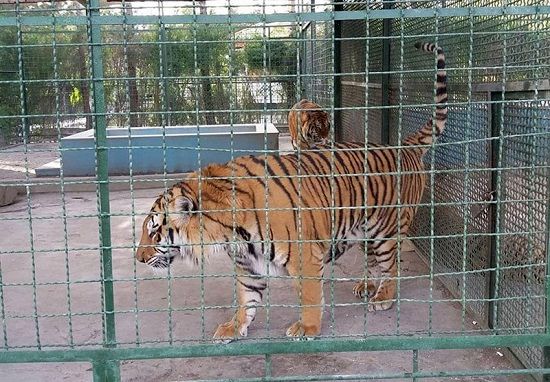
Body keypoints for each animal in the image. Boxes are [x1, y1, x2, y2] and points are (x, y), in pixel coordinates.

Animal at [137, 42, 448, 344]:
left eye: (154, 231)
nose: (138, 259)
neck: (229, 234)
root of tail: (403, 146)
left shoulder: (305, 255)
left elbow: (309, 295)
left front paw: (307, 328)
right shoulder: (248, 266)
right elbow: (246, 300)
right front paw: (233, 328)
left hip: (387, 230)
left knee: (392, 265)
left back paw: (383, 297)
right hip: (365, 230)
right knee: (372, 260)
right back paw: (367, 285)